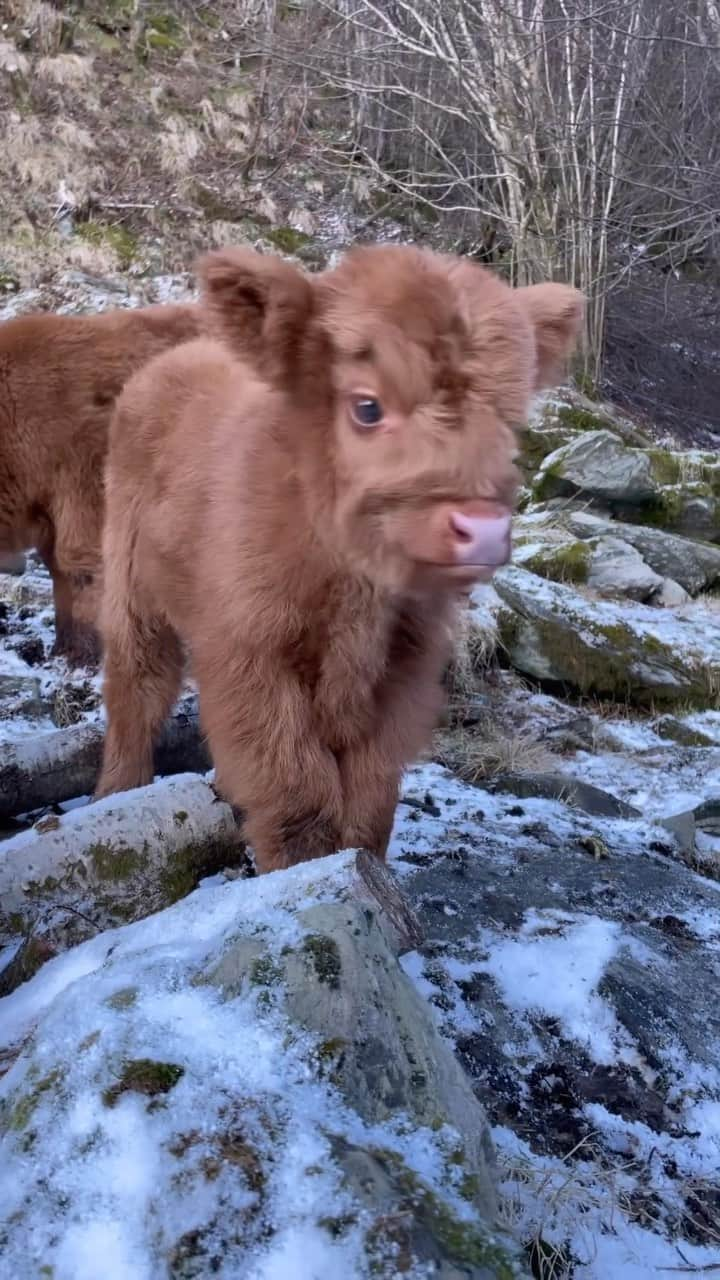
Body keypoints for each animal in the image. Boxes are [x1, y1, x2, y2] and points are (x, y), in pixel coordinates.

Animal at [95, 241, 579, 870]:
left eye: (507, 421)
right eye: (367, 408)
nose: (482, 529)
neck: (358, 593)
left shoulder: (403, 669)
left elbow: (371, 793)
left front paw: (364, 865)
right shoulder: (250, 650)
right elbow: (294, 785)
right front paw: (304, 870)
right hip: (131, 583)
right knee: (138, 686)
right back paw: (117, 789)